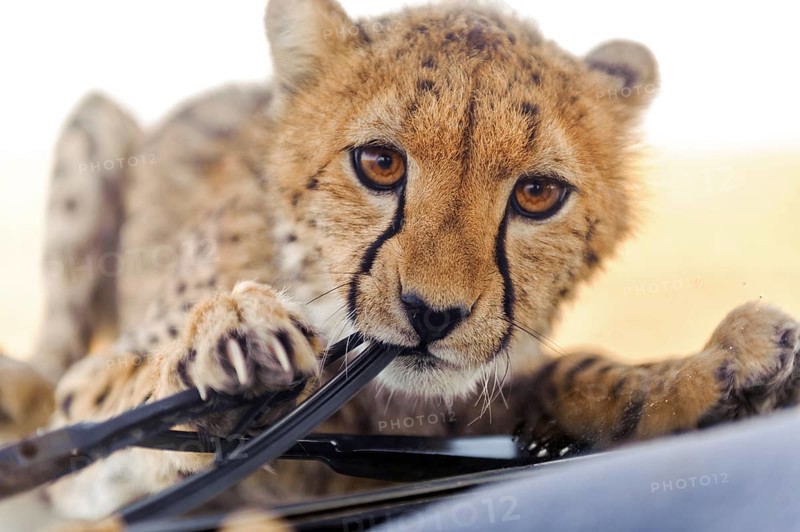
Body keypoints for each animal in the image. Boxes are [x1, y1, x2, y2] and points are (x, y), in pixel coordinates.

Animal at [2, 0, 799, 526]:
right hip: (93, 131)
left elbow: (573, 371)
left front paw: (719, 367)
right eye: (379, 163)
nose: (431, 314)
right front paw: (230, 346)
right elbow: (124, 394)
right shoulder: (91, 430)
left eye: (538, 193)